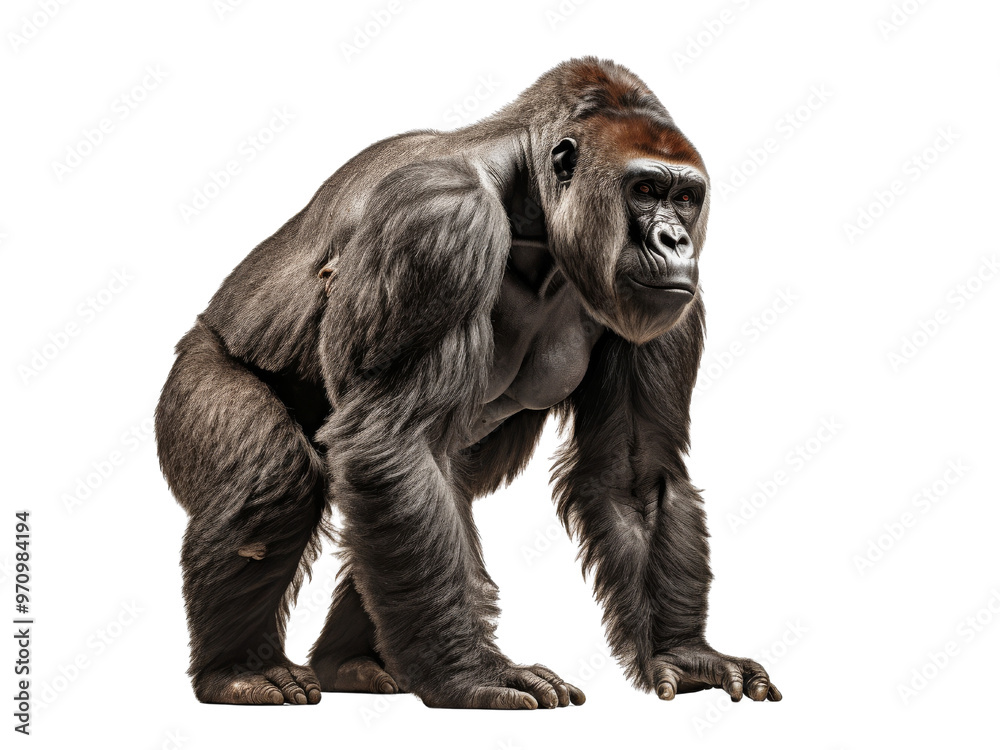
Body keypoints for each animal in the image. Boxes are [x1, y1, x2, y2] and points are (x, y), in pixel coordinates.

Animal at [155, 56, 781, 709]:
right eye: (644, 190)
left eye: (684, 197)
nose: (674, 240)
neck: (533, 209)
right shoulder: (440, 223)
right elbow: (392, 440)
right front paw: (468, 671)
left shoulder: (669, 305)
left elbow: (635, 472)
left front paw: (679, 650)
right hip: (198, 367)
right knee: (280, 480)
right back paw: (239, 668)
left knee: (423, 494)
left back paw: (350, 661)